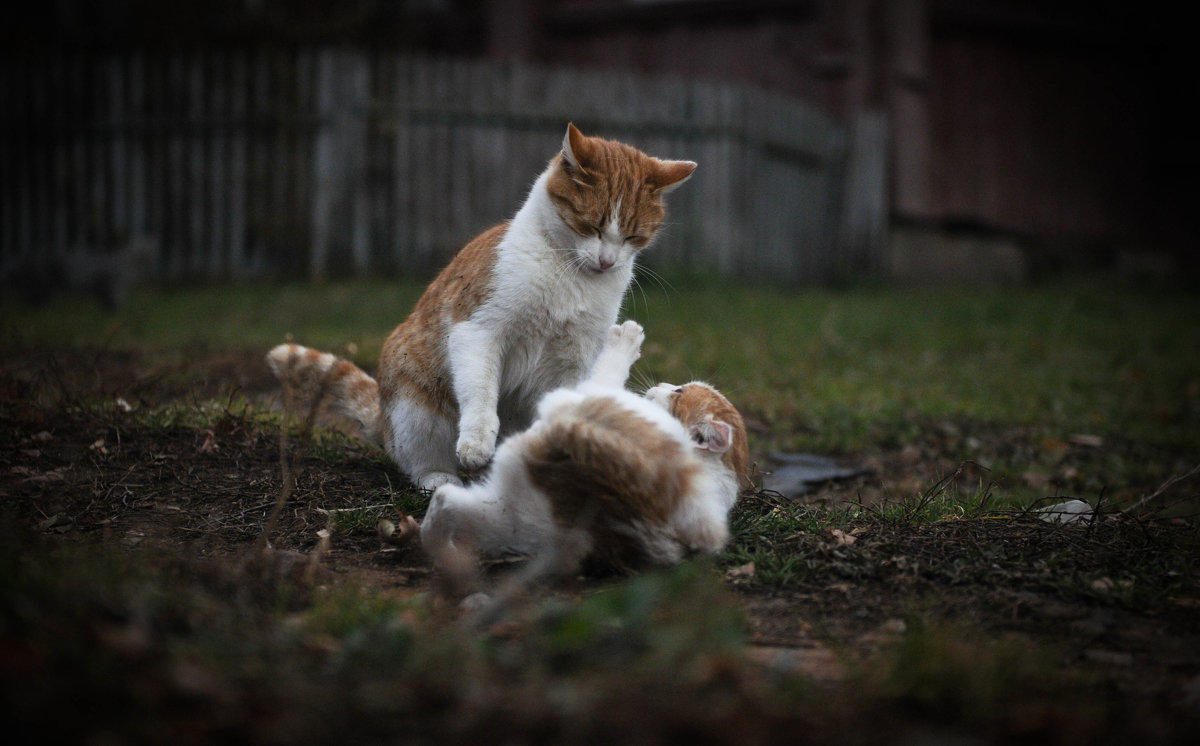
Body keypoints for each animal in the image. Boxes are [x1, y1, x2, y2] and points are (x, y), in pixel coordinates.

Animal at [262, 124, 696, 491]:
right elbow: (481, 393)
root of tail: (383, 418)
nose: (607, 262)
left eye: (633, 236)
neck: (571, 276)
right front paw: (476, 442)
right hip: (415, 405)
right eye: (591, 226)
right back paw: (442, 477)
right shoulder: (477, 332)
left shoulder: (577, 359)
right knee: (415, 461)